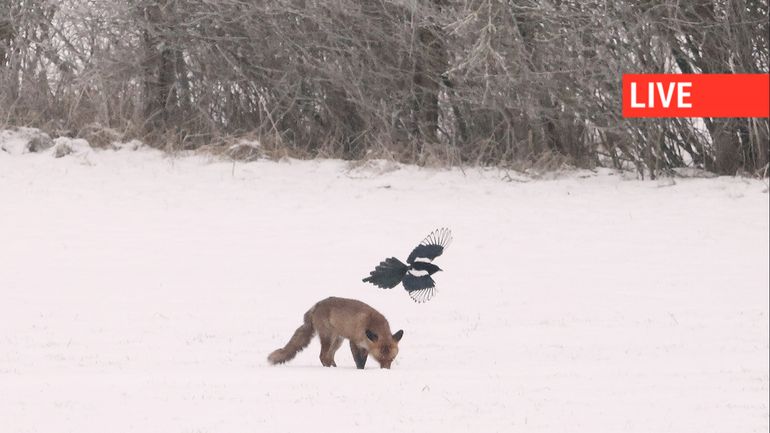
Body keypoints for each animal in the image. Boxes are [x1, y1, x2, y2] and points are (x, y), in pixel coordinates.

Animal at [268, 296, 404, 368]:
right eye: (379, 358)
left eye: (392, 359)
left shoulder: (365, 346)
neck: (371, 323)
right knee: (323, 357)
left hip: (338, 341)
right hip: (329, 337)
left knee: (329, 356)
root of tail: (316, 306)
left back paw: (334, 367)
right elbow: (359, 361)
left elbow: (362, 361)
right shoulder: (354, 341)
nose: (385, 370)